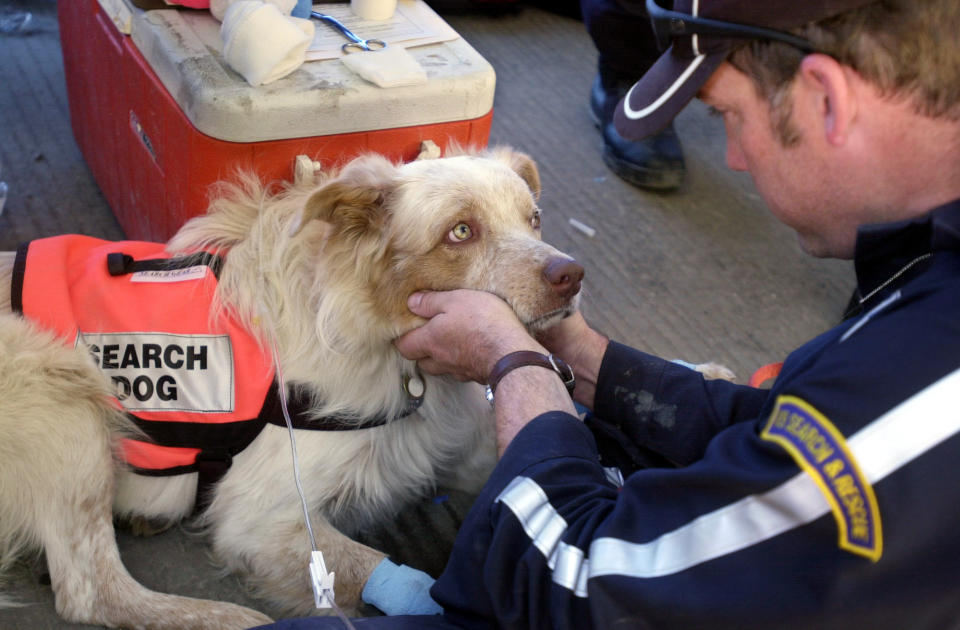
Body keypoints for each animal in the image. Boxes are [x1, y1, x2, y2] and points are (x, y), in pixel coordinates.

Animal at [0, 146, 584, 628]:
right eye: (460, 232)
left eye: (533, 219)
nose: (571, 275)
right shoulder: (262, 518)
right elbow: (379, 573)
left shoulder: (470, 449)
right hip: (65, 395)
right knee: (92, 590)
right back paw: (230, 619)